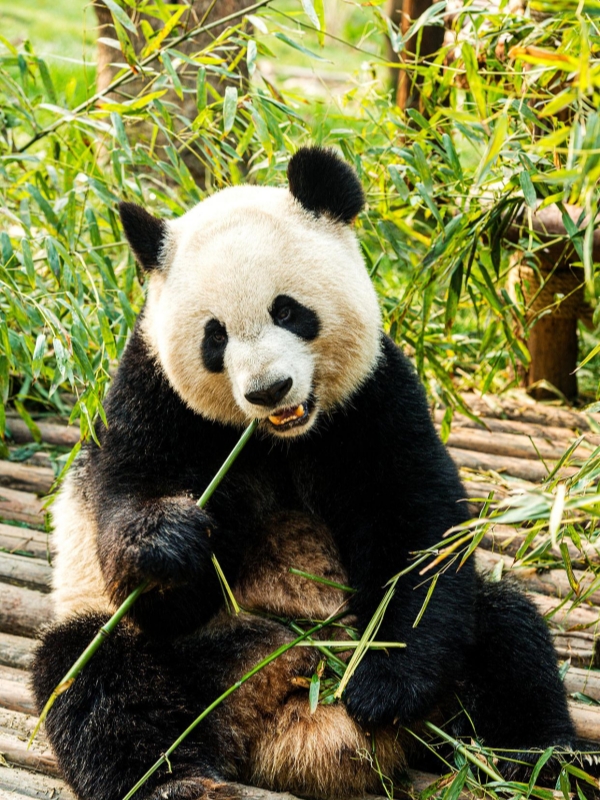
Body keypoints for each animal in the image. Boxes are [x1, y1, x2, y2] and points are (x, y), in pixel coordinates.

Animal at [32, 146, 579, 800]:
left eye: (288, 311)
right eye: (214, 336)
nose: (269, 390)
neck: (281, 439)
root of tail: (292, 725)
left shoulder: (374, 398)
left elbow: (416, 534)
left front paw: (383, 686)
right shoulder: (152, 402)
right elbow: (142, 546)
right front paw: (173, 542)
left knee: (506, 631)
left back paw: (545, 761)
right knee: (94, 673)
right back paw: (178, 782)